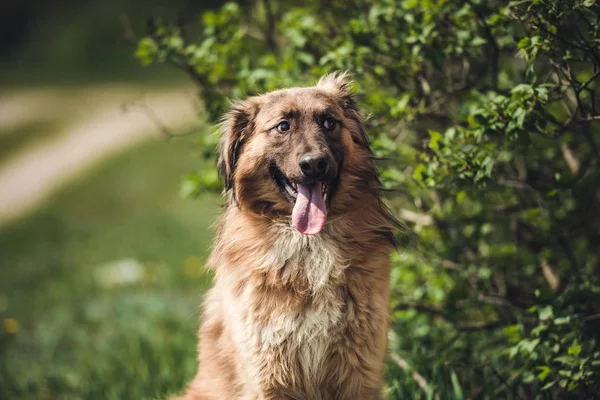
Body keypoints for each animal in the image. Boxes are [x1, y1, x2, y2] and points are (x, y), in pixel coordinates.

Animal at [179, 72, 404, 400]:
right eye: (283, 126)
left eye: (329, 122)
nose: (315, 164)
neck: (308, 245)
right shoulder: (269, 374)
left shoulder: (359, 371)